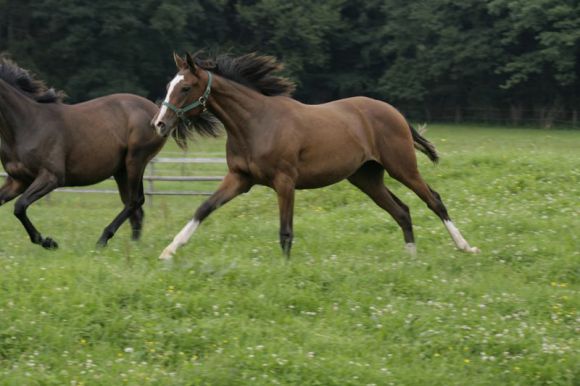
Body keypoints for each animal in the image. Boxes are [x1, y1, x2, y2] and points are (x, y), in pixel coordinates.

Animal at [0, 57, 168, 250]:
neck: (25, 125)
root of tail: (157, 112)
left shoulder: (51, 177)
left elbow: (20, 206)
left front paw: (49, 242)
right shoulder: (18, 180)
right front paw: (47, 242)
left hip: (136, 160)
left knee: (135, 201)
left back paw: (103, 240)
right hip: (122, 170)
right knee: (135, 207)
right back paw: (133, 246)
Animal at [152, 52, 478, 260]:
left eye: (185, 87)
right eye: (169, 85)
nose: (159, 124)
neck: (256, 123)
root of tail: (393, 111)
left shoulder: (284, 182)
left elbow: (285, 231)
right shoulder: (239, 179)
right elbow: (203, 208)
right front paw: (168, 251)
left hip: (403, 168)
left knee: (433, 200)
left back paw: (466, 247)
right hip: (366, 178)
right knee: (402, 211)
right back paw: (410, 258)